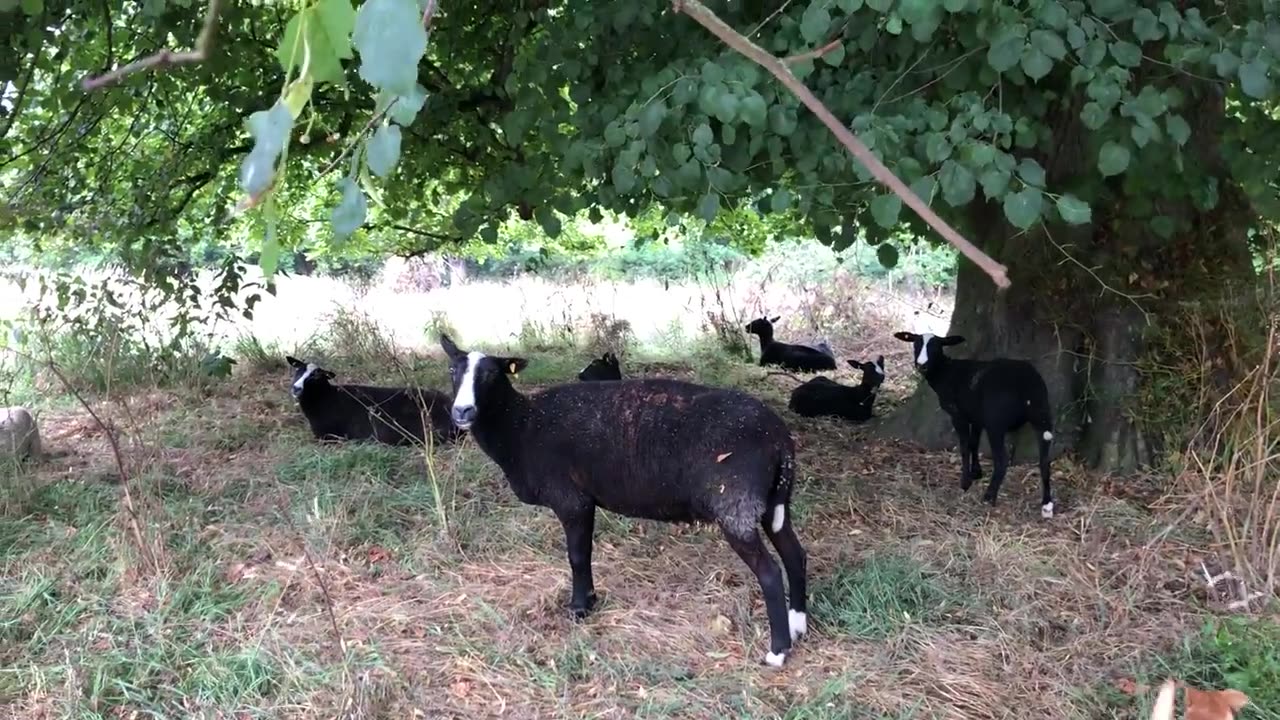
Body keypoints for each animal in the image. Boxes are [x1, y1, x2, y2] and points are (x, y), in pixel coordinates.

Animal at [440, 333, 808, 666]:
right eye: (452, 370)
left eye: (491, 374)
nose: (462, 411)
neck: (521, 427)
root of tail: (780, 438)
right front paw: (587, 601)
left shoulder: (571, 499)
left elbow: (577, 556)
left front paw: (579, 608)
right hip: (771, 503)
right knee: (795, 554)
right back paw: (798, 625)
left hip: (735, 504)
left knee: (770, 572)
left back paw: (777, 651)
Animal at [896, 330, 1054, 515]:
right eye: (916, 345)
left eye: (935, 347)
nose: (921, 365)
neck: (946, 372)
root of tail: (1027, 384)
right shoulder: (976, 417)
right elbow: (974, 443)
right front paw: (976, 472)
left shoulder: (958, 415)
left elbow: (964, 447)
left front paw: (965, 482)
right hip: (1042, 414)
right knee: (1045, 460)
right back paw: (1047, 504)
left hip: (996, 421)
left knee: (1002, 460)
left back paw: (989, 496)